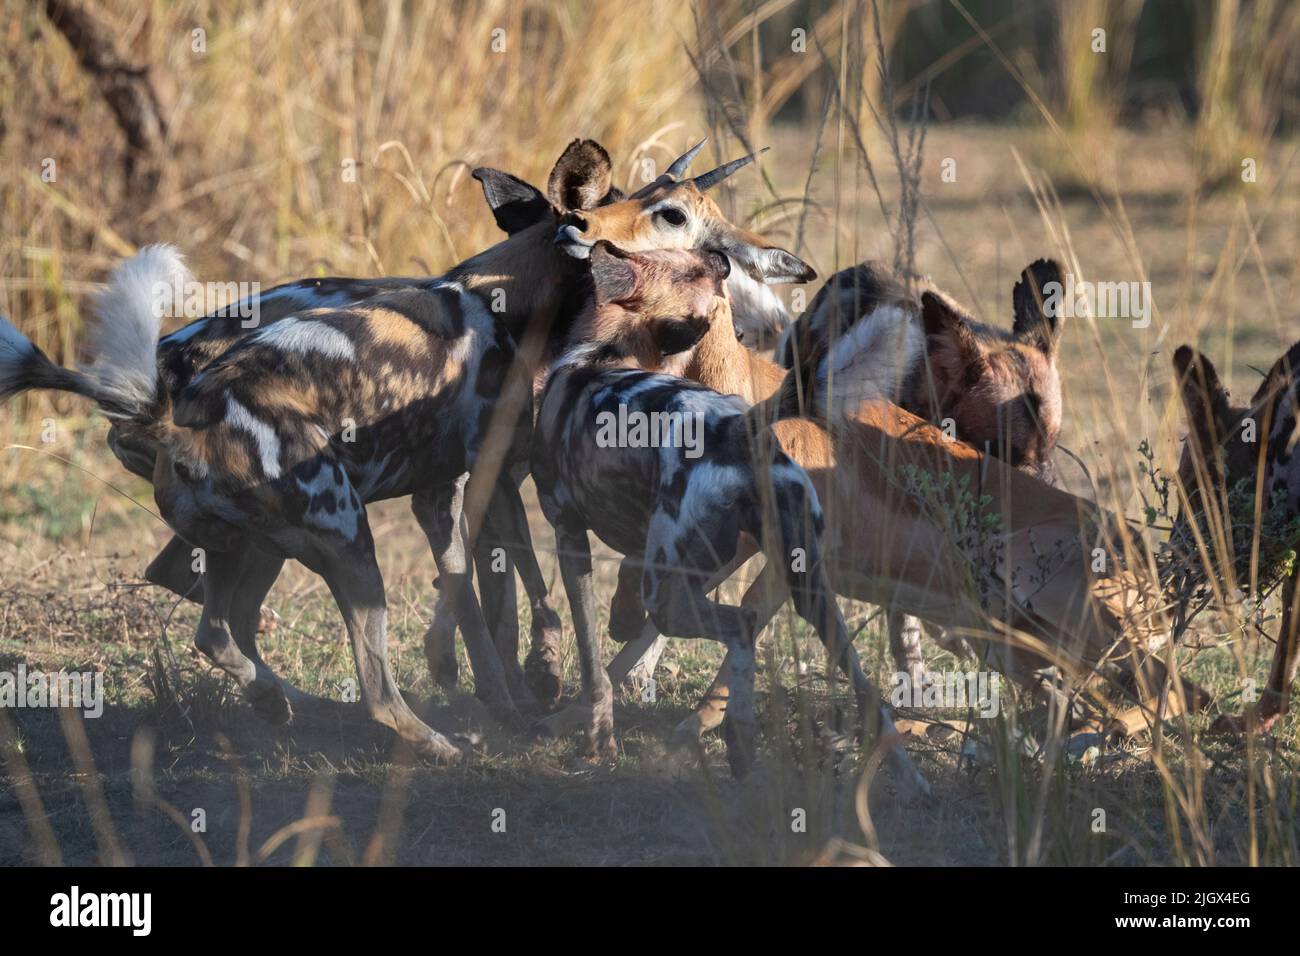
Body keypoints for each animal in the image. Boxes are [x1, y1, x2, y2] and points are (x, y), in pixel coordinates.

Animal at [530, 243, 923, 786]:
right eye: (691, 264)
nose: (720, 256)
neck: (604, 353)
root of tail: (742, 425)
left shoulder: (571, 540)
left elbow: (592, 661)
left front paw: (597, 737)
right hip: (812, 595)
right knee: (864, 689)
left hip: (670, 598)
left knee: (739, 627)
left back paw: (735, 735)